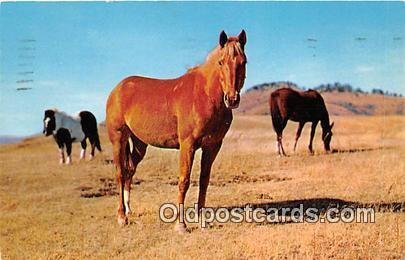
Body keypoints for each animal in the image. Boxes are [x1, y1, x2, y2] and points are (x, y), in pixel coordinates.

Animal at [105, 29, 246, 231]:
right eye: (221, 62)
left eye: (243, 62)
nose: (232, 99)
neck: (205, 95)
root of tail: (117, 89)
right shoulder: (188, 145)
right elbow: (184, 181)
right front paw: (181, 225)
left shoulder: (212, 146)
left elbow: (204, 181)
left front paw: (202, 221)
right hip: (118, 139)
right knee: (120, 173)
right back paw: (122, 217)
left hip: (140, 144)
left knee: (130, 170)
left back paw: (129, 209)